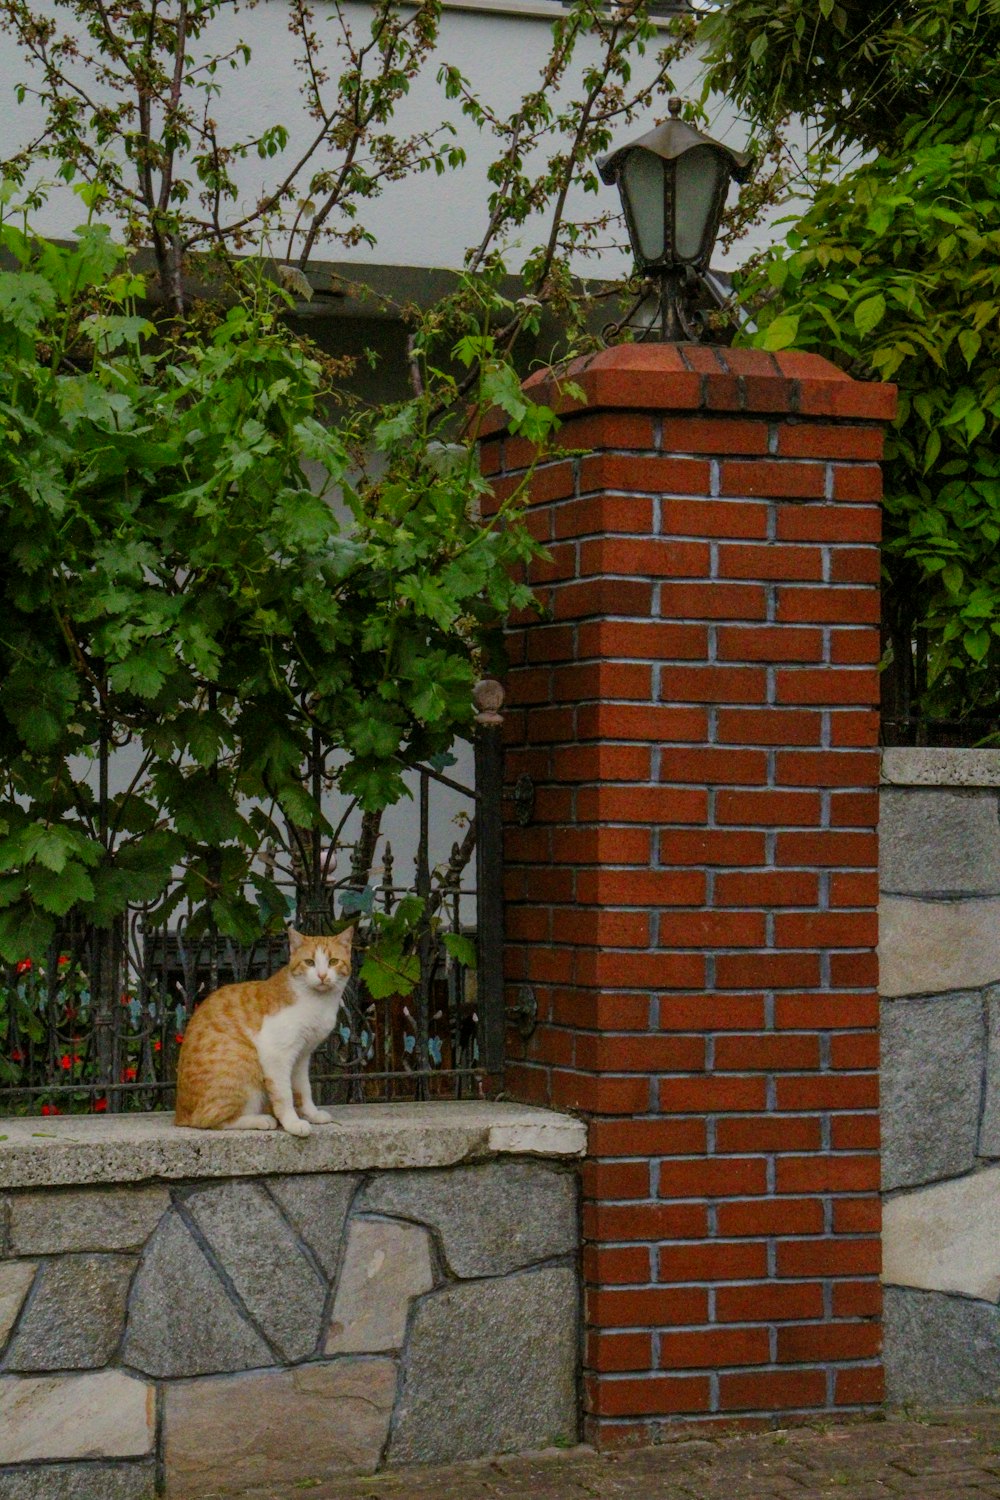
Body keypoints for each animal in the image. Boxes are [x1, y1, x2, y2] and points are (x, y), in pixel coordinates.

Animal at [173, 924, 353, 1134]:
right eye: (309, 962)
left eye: (333, 962)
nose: (322, 976)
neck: (318, 1002)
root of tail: (180, 1116)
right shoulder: (276, 1055)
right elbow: (284, 1094)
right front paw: (292, 1122)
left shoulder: (302, 1056)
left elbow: (303, 1089)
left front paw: (311, 1114)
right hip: (245, 1060)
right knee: (210, 1120)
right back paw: (261, 1120)